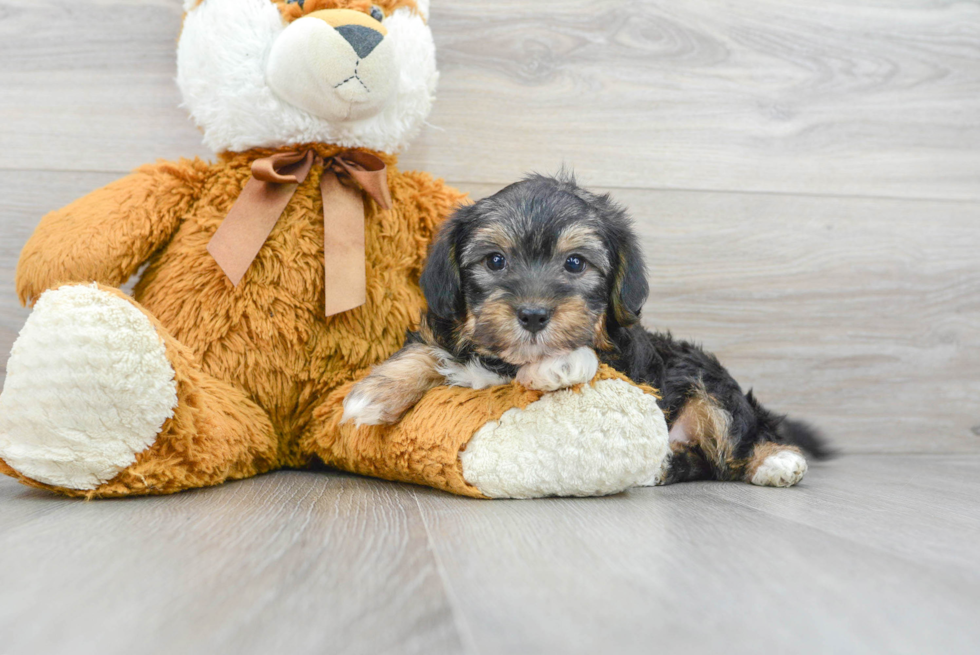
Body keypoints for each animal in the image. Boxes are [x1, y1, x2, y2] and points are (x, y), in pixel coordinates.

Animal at [340, 174, 832, 486]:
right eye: (495, 261)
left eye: (575, 264)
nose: (533, 315)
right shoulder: (445, 332)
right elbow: (427, 350)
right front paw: (374, 394)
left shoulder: (629, 362)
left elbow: (582, 360)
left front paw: (555, 365)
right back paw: (662, 467)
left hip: (707, 381)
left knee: (734, 437)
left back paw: (776, 461)